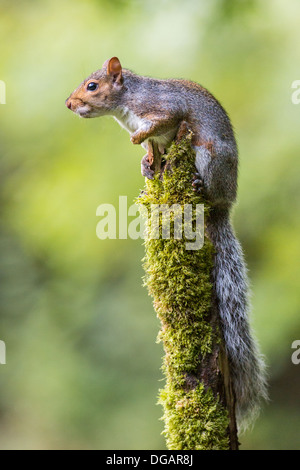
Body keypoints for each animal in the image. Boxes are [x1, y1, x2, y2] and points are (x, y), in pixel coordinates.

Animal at [65, 55, 268, 430]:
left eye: (92, 86)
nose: (70, 104)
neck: (126, 106)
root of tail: (224, 206)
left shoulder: (166, 109)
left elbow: (164, 122)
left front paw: (138, 138)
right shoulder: (156, 137)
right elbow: (152, 147)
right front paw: (146, 160)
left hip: (209, 157)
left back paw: (202, 187)